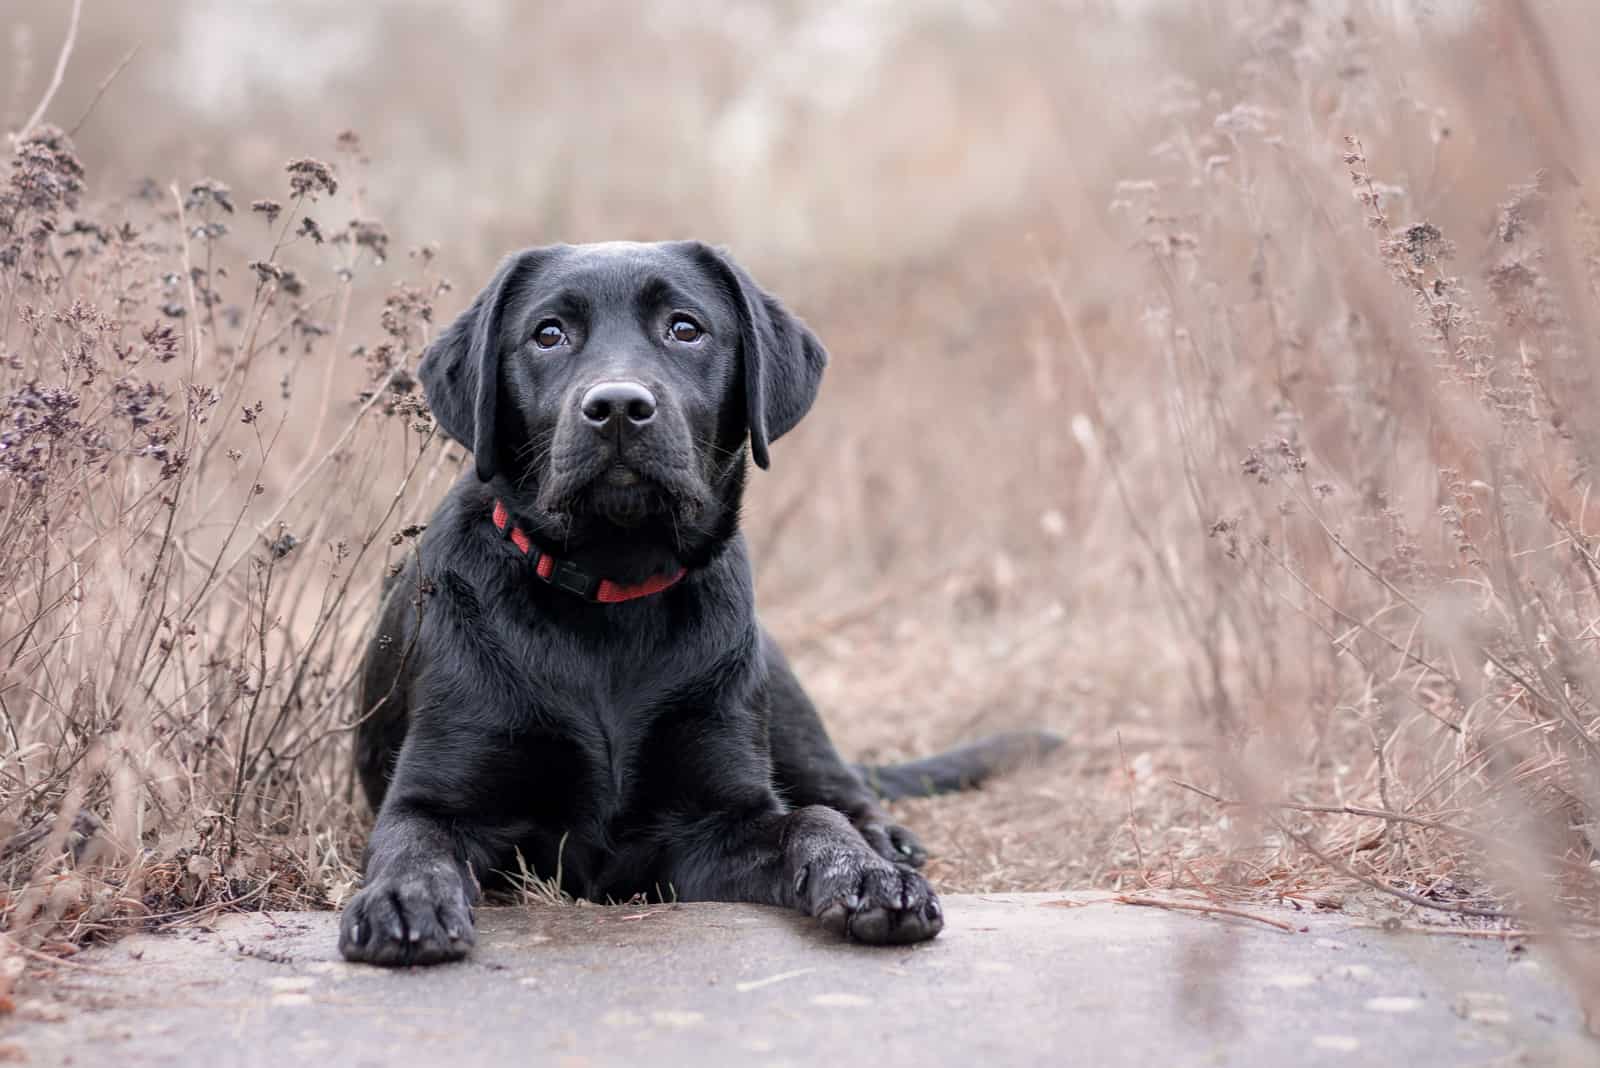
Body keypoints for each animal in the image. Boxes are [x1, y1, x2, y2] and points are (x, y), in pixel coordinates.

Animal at [344, 244, 1056, 965]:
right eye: (548, 334)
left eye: (685, 328)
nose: (619, 406)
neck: (613, 592)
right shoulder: (435, 797)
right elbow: (413, 844)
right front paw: (403, 898)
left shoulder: (716, 822)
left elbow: (812, 820)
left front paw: (867, 875)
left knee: (842, 790)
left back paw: (885, 842)